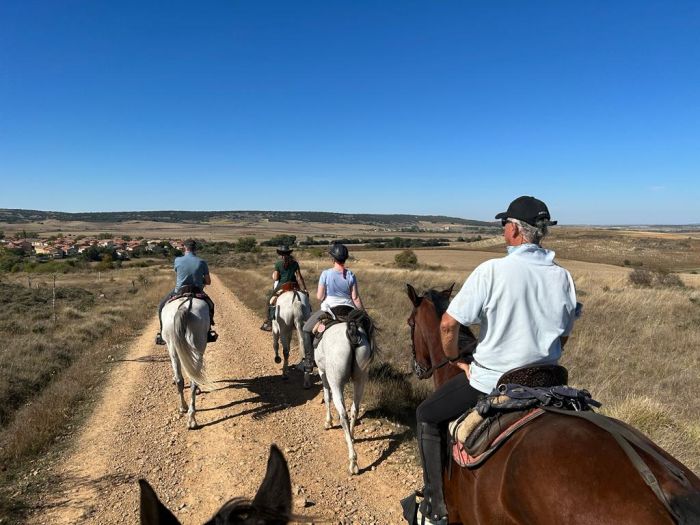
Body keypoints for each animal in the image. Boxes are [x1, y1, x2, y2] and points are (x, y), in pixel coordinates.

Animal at [161, 296, 211, 428]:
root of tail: (184, 306)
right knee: (189, 380)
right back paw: (190, 416)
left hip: (174, 347)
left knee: (184, 379)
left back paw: (185, 410)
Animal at [314, 320, 374, 474]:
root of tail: (351, 330)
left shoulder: (322, 372)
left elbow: (326, 396)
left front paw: (328, 422)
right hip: (361, 379)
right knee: (354, 409)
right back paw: (351, 438)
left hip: (335, 381)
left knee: (343, 414)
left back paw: (353, 462)